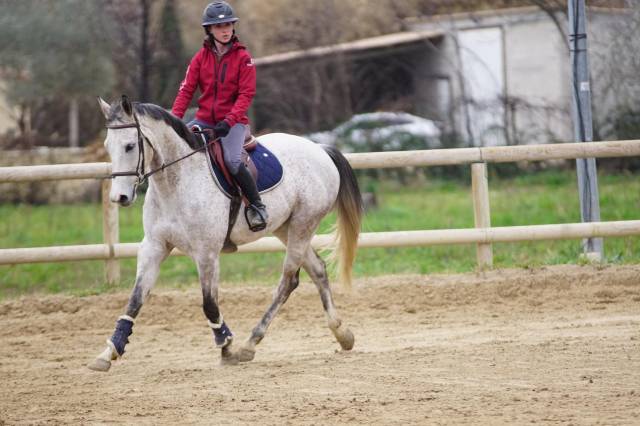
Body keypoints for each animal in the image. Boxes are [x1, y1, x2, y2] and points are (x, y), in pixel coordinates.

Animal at [87, 95, 362, 372]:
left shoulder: (206, 253)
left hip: (303, 224)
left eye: (130, 146)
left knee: (288, 281)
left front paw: (226, 346)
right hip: (287, 228)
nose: (119, 197)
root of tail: (320, 149)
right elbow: (135, 300)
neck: (176, 182)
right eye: (108, 146)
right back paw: (343, 334)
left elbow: (209, 304)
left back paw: (250, 344)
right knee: (317, 270)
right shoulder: (154, 247)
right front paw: (108, 352)